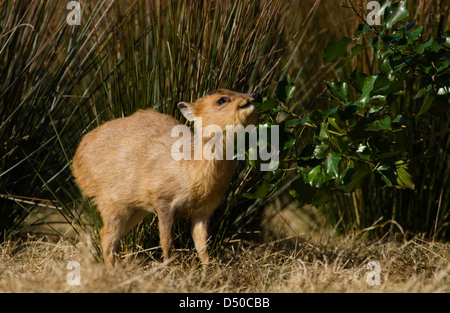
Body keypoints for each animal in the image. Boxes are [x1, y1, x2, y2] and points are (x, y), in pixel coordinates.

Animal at [71, 89, 260, 266]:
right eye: (221, 100)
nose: (254, 94)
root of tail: (76, 161)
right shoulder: (163, 199)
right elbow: (167, 240)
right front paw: (169, 267)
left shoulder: (205, 210)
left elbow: (202, 245)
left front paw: (210, 269)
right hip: (111, 202)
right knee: (106, 237)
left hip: (135, 209)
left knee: (109, 236)